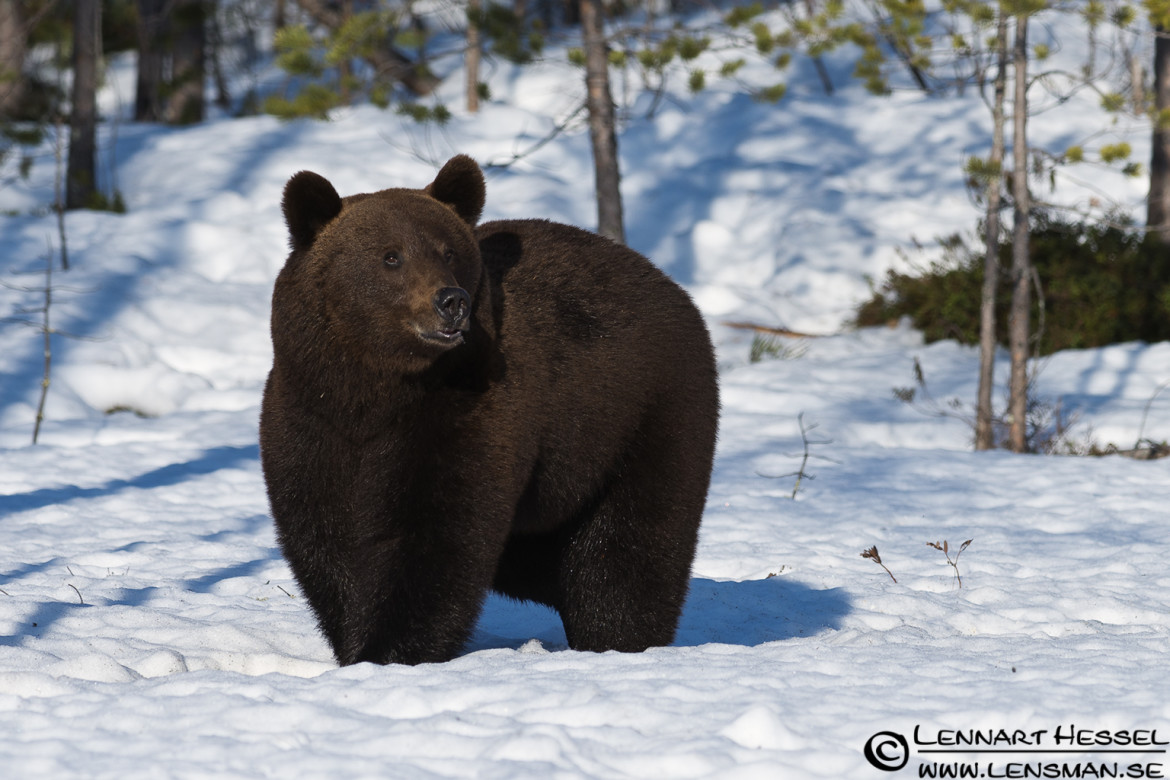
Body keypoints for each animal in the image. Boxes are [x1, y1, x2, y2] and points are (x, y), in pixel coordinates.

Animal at [259, 155, 719, 666]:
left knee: (625, 550)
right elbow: (325, 536)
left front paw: (389, 649)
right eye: (390, 256)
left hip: (639, 416)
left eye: (448, 252)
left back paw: (617, 637)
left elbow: (437, 534)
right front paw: (354, 643)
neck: (373, 391)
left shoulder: (464, 415)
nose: (450, 301)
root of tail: (670, 285)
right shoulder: (310, 419)